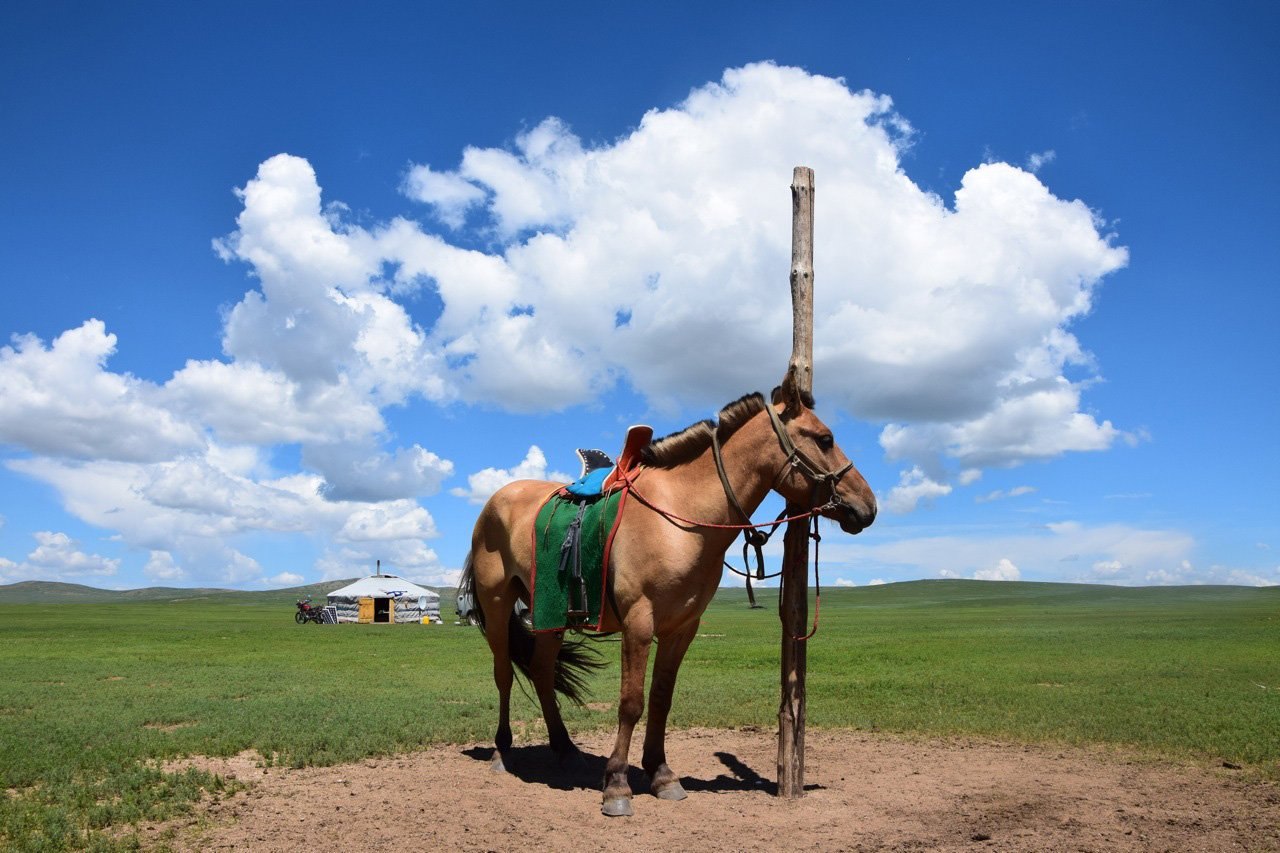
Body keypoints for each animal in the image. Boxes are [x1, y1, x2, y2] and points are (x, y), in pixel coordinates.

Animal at [455, 376, 875, 814]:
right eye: (825, 438)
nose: (869, 505)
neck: (681, 515)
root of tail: (493, 503)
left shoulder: (681, 628)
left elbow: (660, 698)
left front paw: (661, 774)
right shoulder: (639, 622)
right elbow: (631, 702)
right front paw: (617, 784)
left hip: (550, 611)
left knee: (539, 670)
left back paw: (565, 748)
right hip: (498, 605)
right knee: (504, 673)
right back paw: (502, 752)